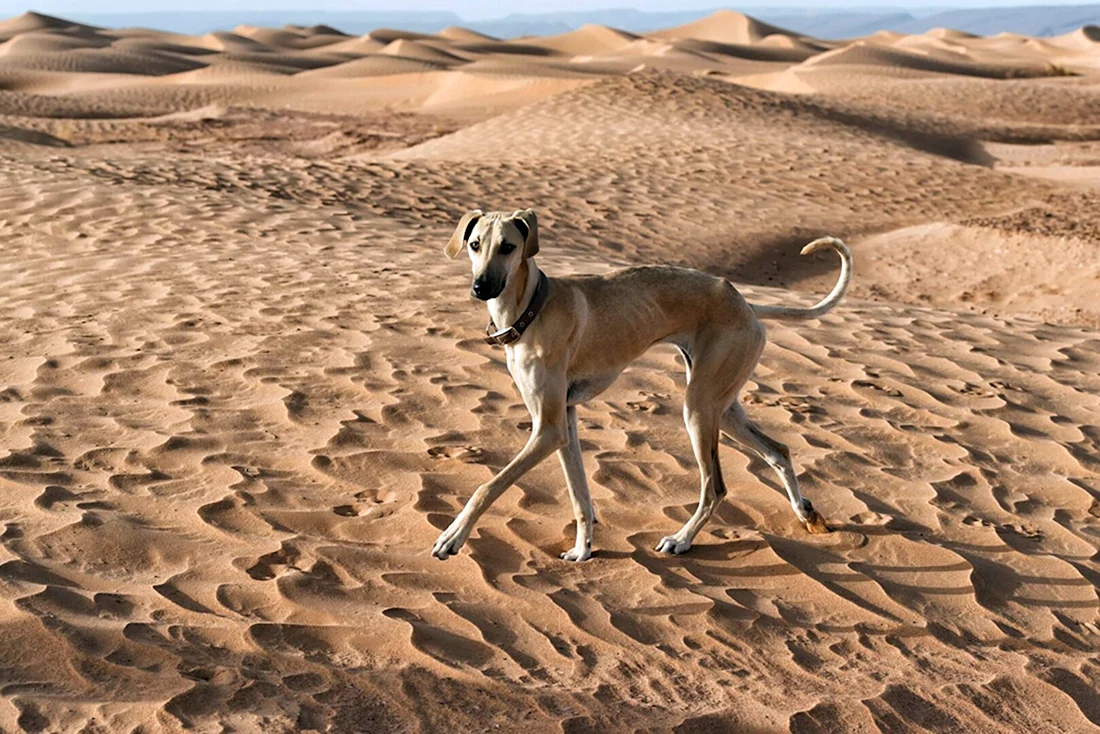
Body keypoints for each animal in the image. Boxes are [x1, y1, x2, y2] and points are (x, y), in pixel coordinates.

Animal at [429, 207, 849, 563]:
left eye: (508, 246)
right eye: (474, 244)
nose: (481, 287)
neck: (533, 307)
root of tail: (745, 302)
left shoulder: (547, 429)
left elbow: (487, 487)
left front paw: (452, 537)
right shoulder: (564, 422)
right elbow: (580, 496)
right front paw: (583, 550)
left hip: (699, 408)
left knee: (715, 487)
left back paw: (681, 539)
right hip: (723, 405)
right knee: (779, 450)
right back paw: (806, 513)